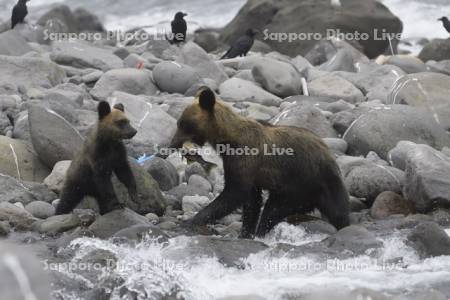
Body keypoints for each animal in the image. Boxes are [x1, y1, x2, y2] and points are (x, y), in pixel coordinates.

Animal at [169, 88, 352, 238]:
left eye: (183, 123)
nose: (172, 143)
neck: (227, 139)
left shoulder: (244, 160)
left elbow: (235, 193)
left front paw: (192, 220)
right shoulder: (249, 172)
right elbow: (252, 202)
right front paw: (245, 233)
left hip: (303, 182)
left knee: (275, 210)